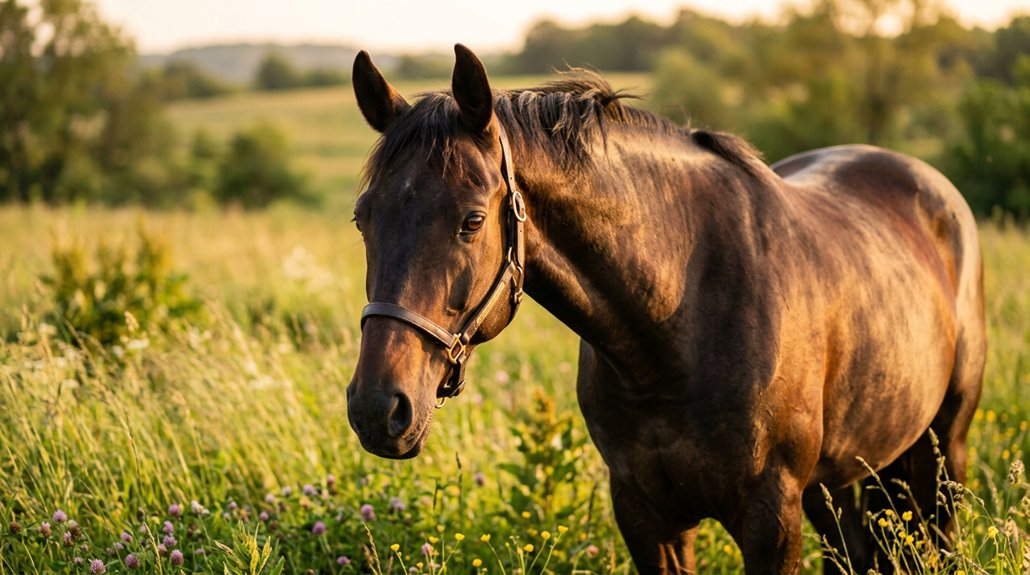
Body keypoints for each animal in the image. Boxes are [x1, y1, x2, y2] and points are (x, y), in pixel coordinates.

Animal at [346, 45, 985, 575]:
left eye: (472, 220)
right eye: (362, 217)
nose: (378, 408)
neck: (680, 323)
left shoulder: (772, 518)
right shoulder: (645, 514)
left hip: (942, 452)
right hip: (845, 477)